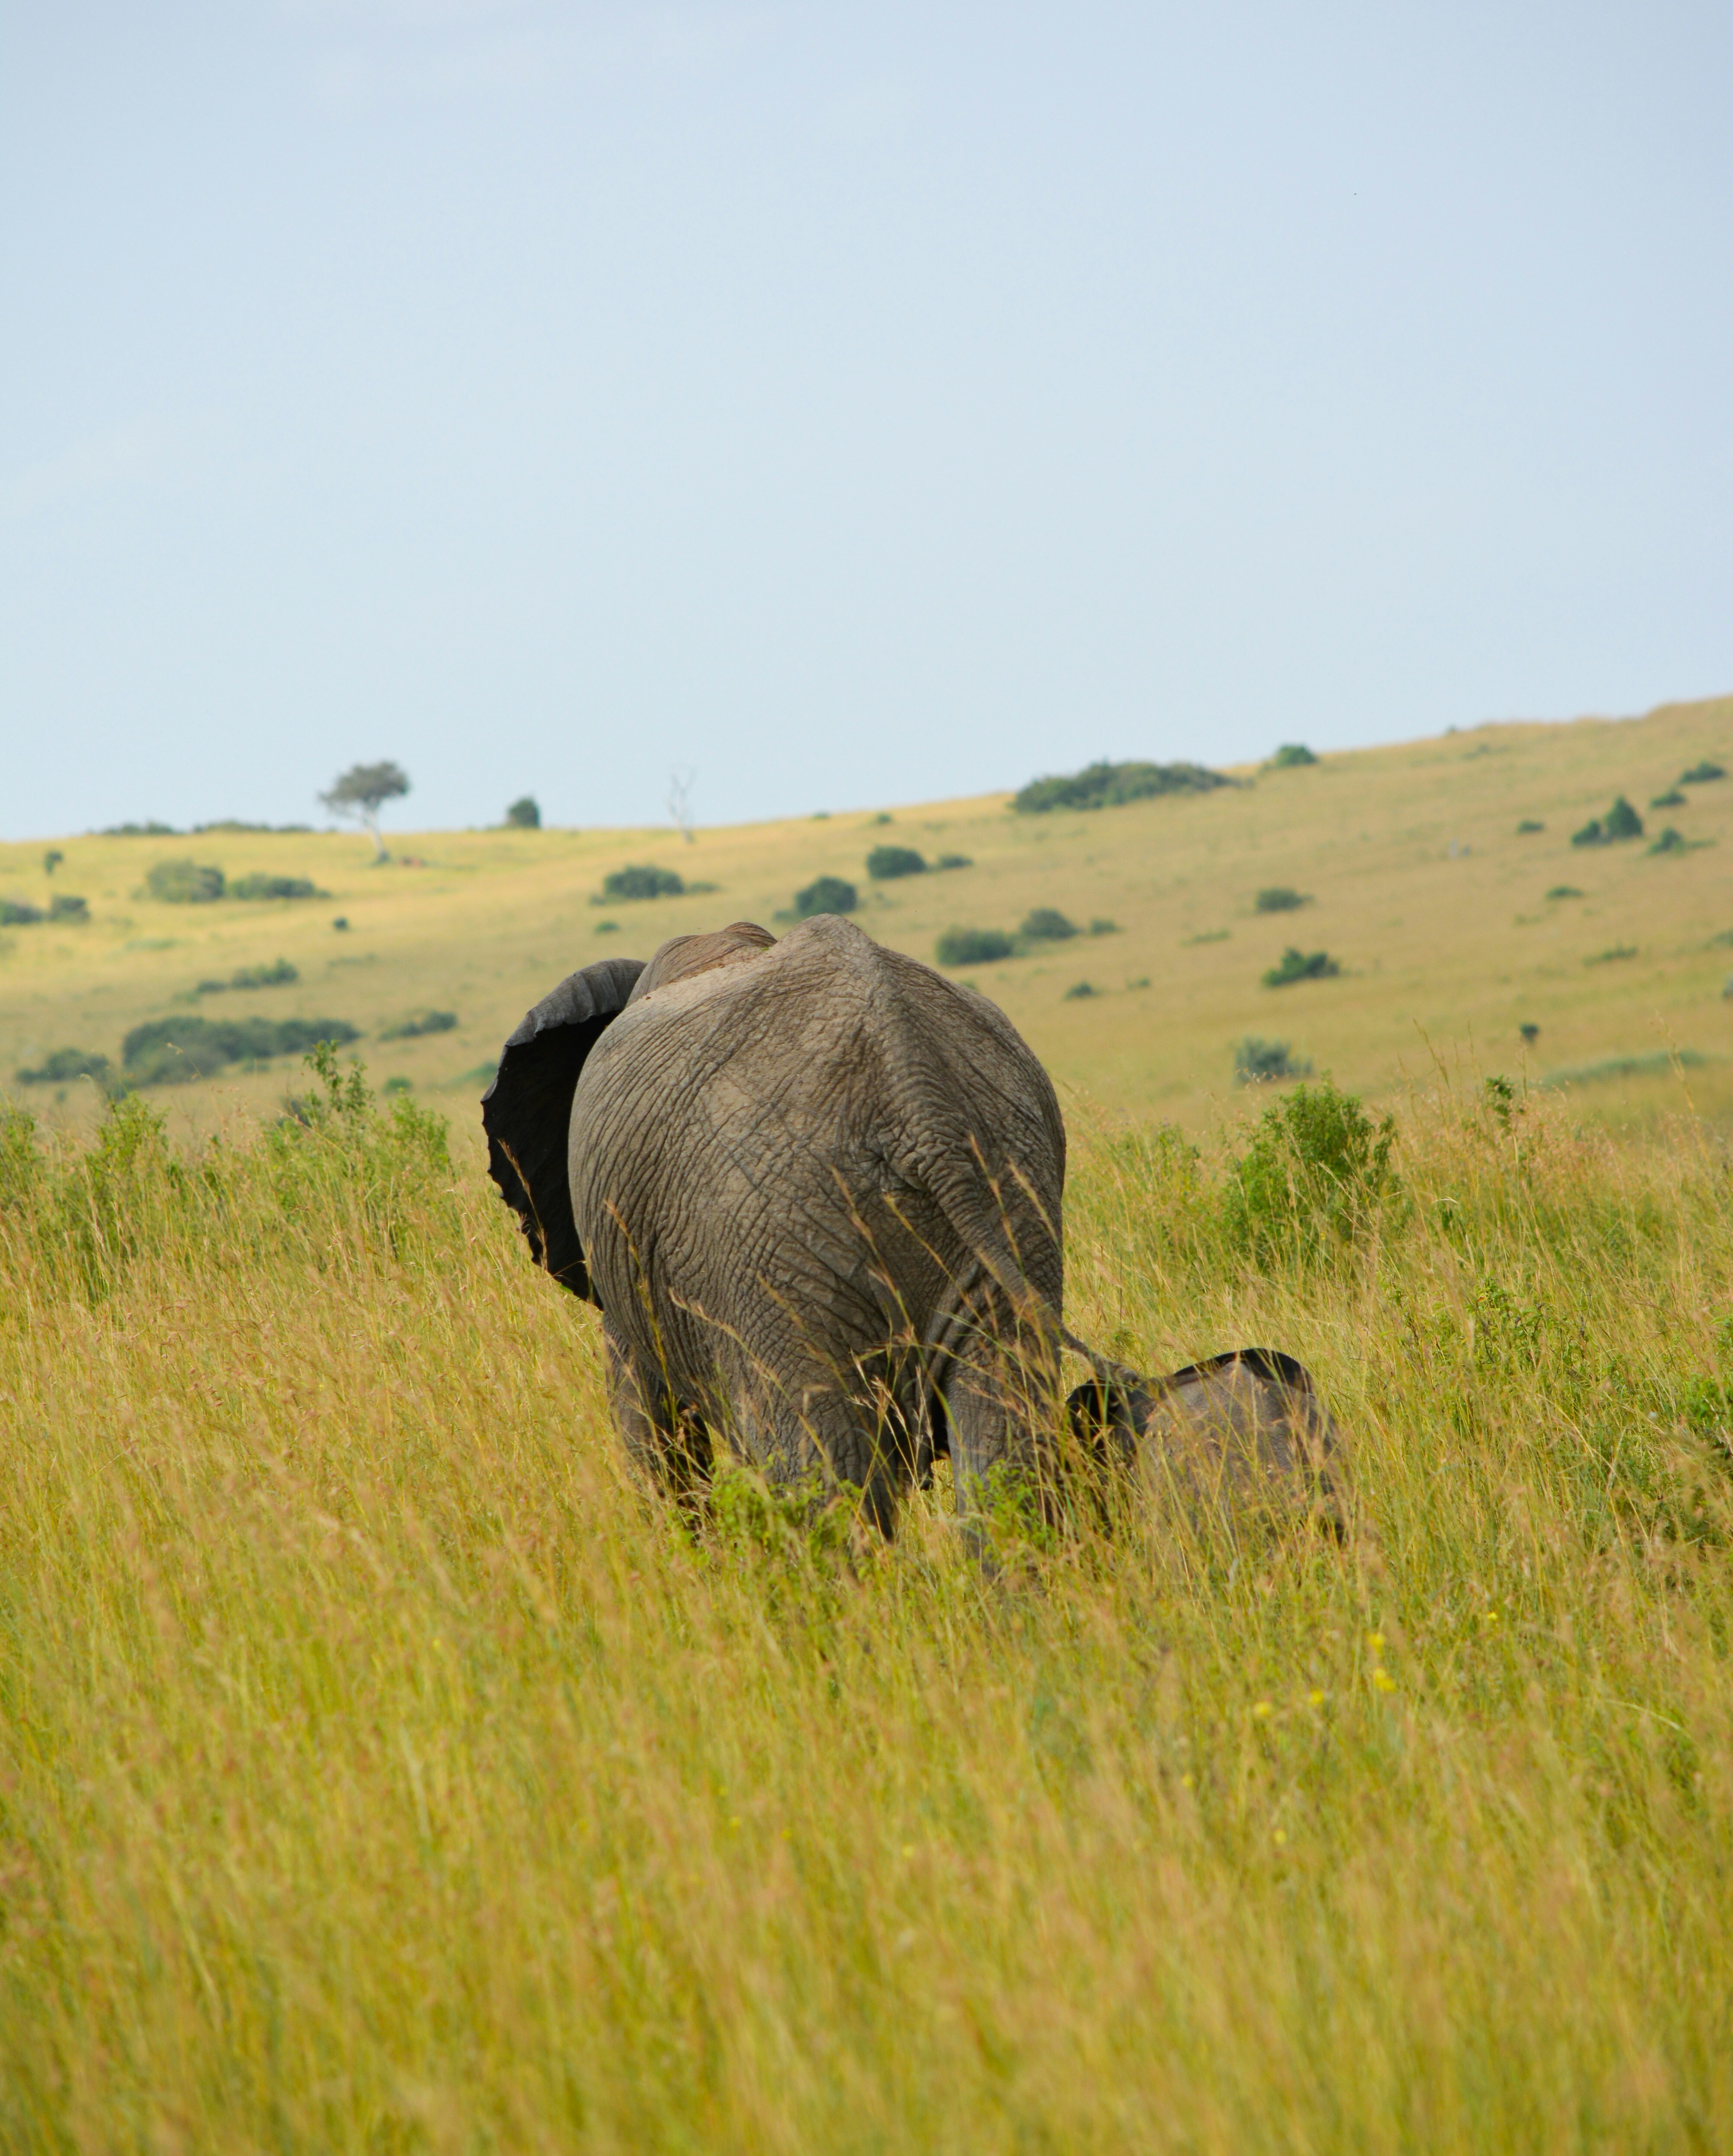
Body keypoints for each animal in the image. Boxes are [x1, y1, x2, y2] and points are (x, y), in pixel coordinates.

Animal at [483, 914, 1336, 1536]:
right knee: (1001, 1459)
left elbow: (653, 1435)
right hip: (1006, 1192)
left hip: (768, 1241)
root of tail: (911, 1086)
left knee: (822, 1482)